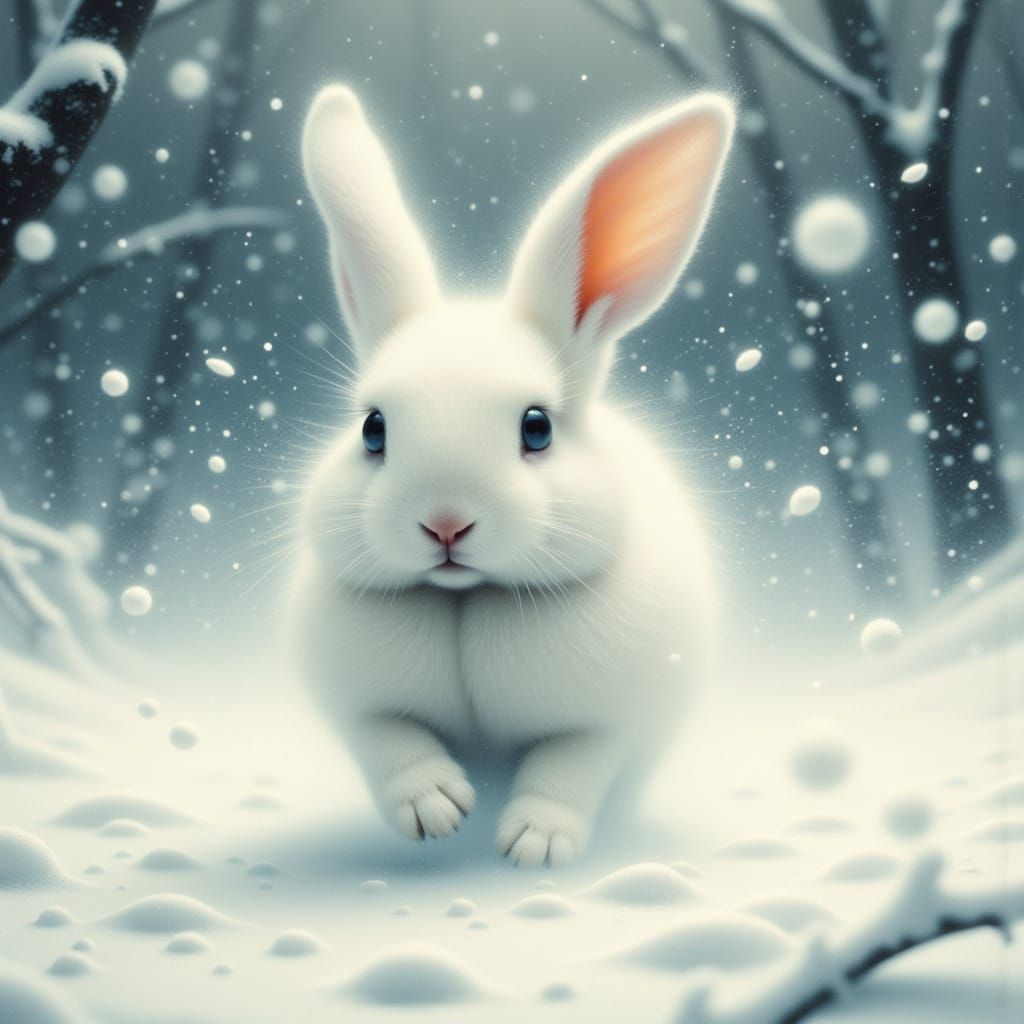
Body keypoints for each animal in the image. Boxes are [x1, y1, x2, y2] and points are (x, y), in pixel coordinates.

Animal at [290, 84, 734, 867]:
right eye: (372, 429)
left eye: (537, 428)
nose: (444, 522)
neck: (467, 599)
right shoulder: (354, 702)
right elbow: (390, 742)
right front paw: (436, 812)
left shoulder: (609, 719)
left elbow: (569, 766)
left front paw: (535, 845)